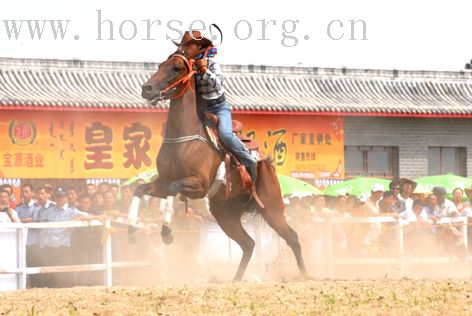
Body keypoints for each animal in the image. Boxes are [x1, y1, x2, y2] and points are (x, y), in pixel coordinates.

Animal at [127, 48, 308, 280]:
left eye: (176, 68)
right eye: (159, 66)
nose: (146, 88)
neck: (183, 139)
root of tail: (266, 163)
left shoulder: (198, 185)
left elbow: (174, 188)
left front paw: (167, 232)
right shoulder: (162, 182)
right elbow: (140, 189)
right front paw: (132, 230)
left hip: (272, 208)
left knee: (292, 237)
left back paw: (304, 275)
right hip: (225, 214)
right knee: (249, 244)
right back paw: (236, 279)